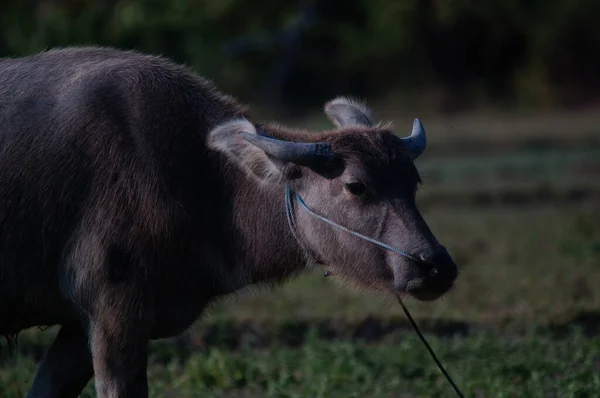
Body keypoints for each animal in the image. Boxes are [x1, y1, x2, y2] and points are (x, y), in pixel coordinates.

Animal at [0, 47, 458, 398]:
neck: (201, 181)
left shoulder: (79, 326)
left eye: (412, 182)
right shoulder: (114, 309)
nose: (435, 265)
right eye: (356, 185)